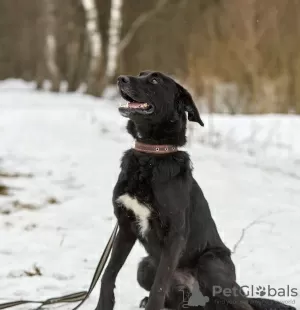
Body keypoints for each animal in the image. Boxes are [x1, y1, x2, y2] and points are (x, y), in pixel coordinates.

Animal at [96, 71, 296, 310]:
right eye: (140, 74)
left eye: (154, 80)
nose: (121, 79)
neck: (151, 157)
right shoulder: (126, 227)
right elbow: (108, 273)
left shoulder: (175, 235)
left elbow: (159, 287)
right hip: (145, 267)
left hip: (211, 263)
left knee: (242, 304)